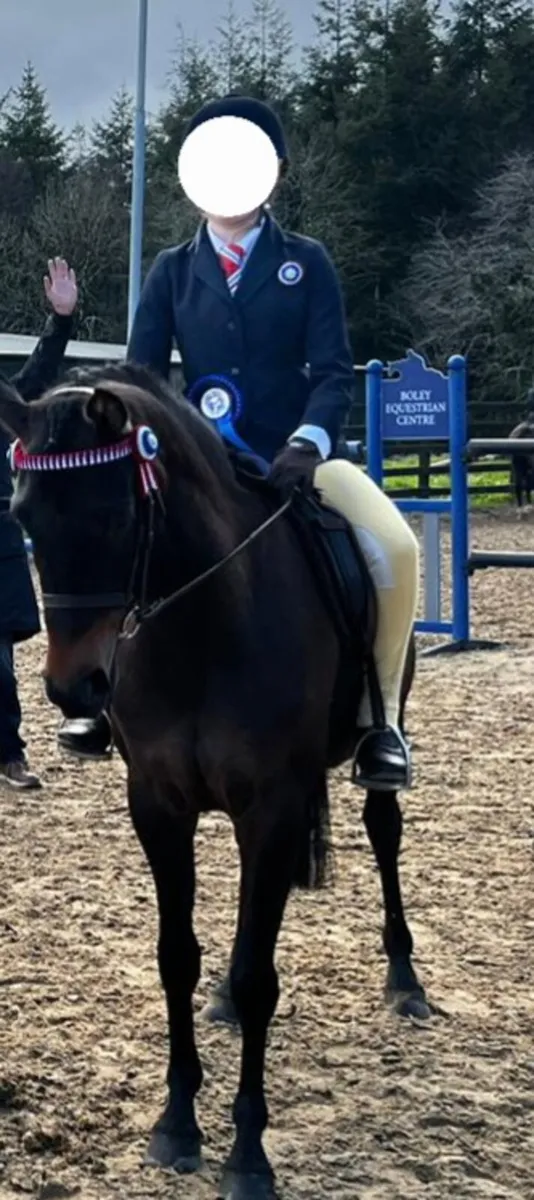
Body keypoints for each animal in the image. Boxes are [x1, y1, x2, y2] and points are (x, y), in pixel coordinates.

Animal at [0, 363, 430, 1200]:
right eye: (23, 515)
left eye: (113, 516)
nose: (74, 690)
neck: (200, 629)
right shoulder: (159, 807)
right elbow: (179, 956)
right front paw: (176, 1124)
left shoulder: (272, 808)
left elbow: (260, 972)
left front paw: (249, 1155)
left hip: (380, 732)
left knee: (384, 833)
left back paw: (405, 977)